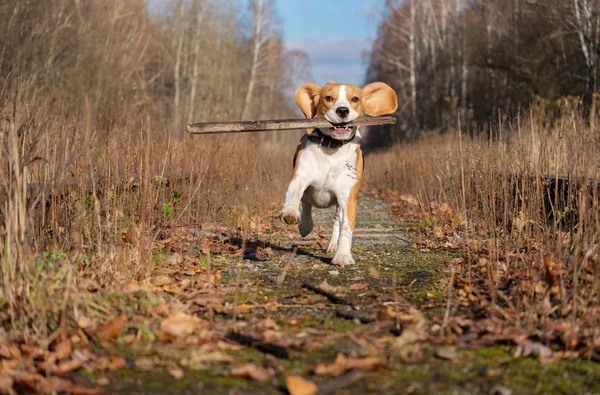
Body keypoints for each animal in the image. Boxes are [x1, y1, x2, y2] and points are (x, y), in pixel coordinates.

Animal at [282, 81, 398, 266]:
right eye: (329, 98)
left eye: (355, 99)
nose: (342, 110)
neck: (332, 147)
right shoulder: (300, 177)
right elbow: (294, 193)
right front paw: (290, 213)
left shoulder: (347, 198)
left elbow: (346, 227)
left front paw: (343, 255)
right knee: (306, 203)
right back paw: (305, 225)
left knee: (336, 220)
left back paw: (334, 245)